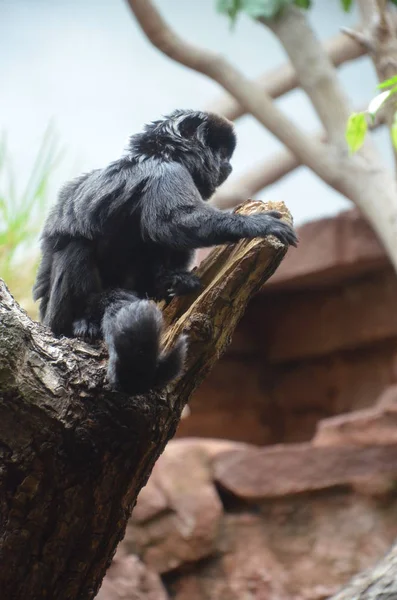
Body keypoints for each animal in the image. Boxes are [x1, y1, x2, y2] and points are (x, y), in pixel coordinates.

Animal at [32, 110, 296, 396]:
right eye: (222, 151)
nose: (227, 165)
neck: (164, 154)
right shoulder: (167, 173)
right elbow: (174, 223)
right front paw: (257, 224)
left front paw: (174, 281)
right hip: (56, 313)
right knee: (76, 246)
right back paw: (83, 320)